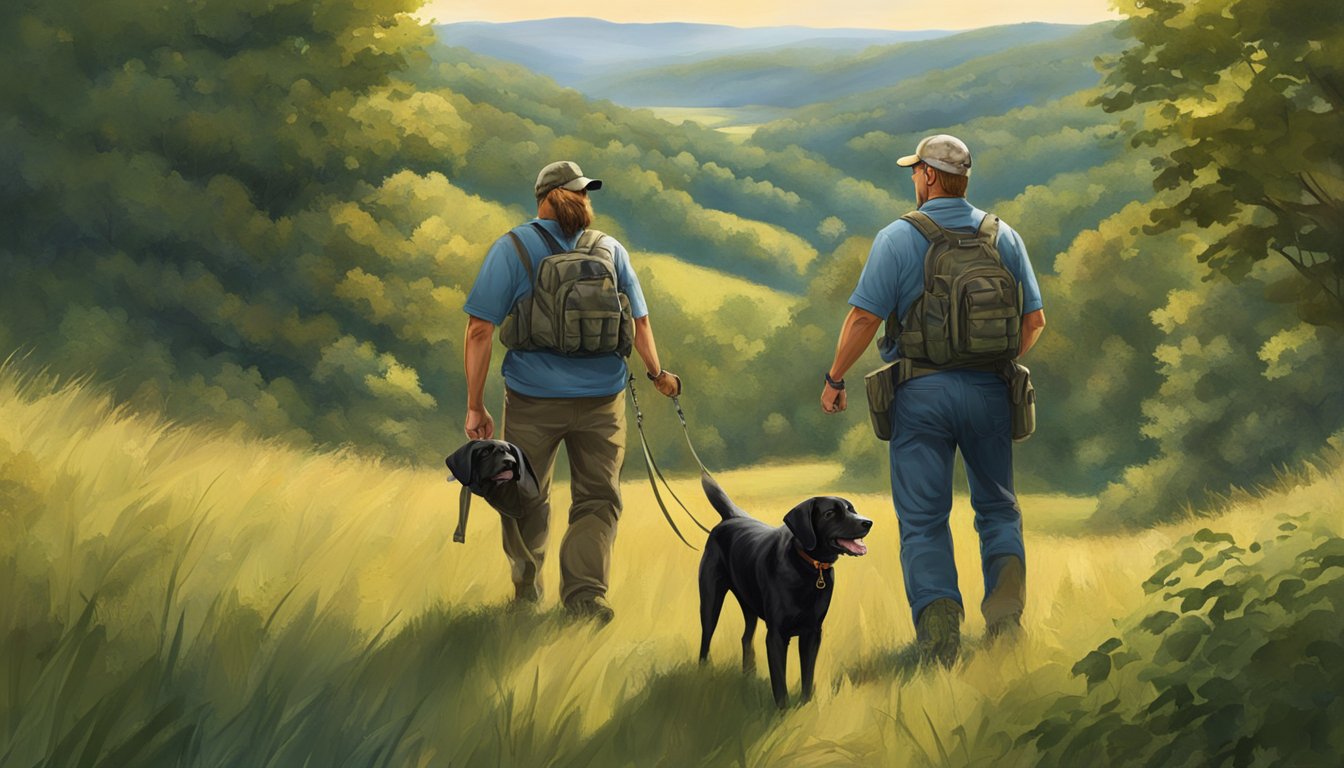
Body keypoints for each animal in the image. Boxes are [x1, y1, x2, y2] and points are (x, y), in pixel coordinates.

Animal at [693, 476, 870, 710]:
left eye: (852, 509)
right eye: (830, 514)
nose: (867, 522)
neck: (808, 568)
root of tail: (731, 517)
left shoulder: (812, 633)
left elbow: (807, 674)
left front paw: (806, 705)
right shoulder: (776, 635)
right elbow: (779, 679)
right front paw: (783, 711)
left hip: (748, 605)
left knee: (745, 638)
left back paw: (748, 675)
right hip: (710, 600)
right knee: (706, 637)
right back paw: (704, 672)